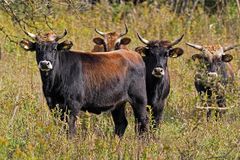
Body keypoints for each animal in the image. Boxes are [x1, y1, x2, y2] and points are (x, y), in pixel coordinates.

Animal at [20, 30, 148, 138]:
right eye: (37, 48)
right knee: (121, 123)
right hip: (118, 103)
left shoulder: (73, 105)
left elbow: (70, 129)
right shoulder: (53, 105)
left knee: (143, 121)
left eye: (54, 48)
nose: (45, 64)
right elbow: (61, 127)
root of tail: (135, 55)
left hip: (139, 99)